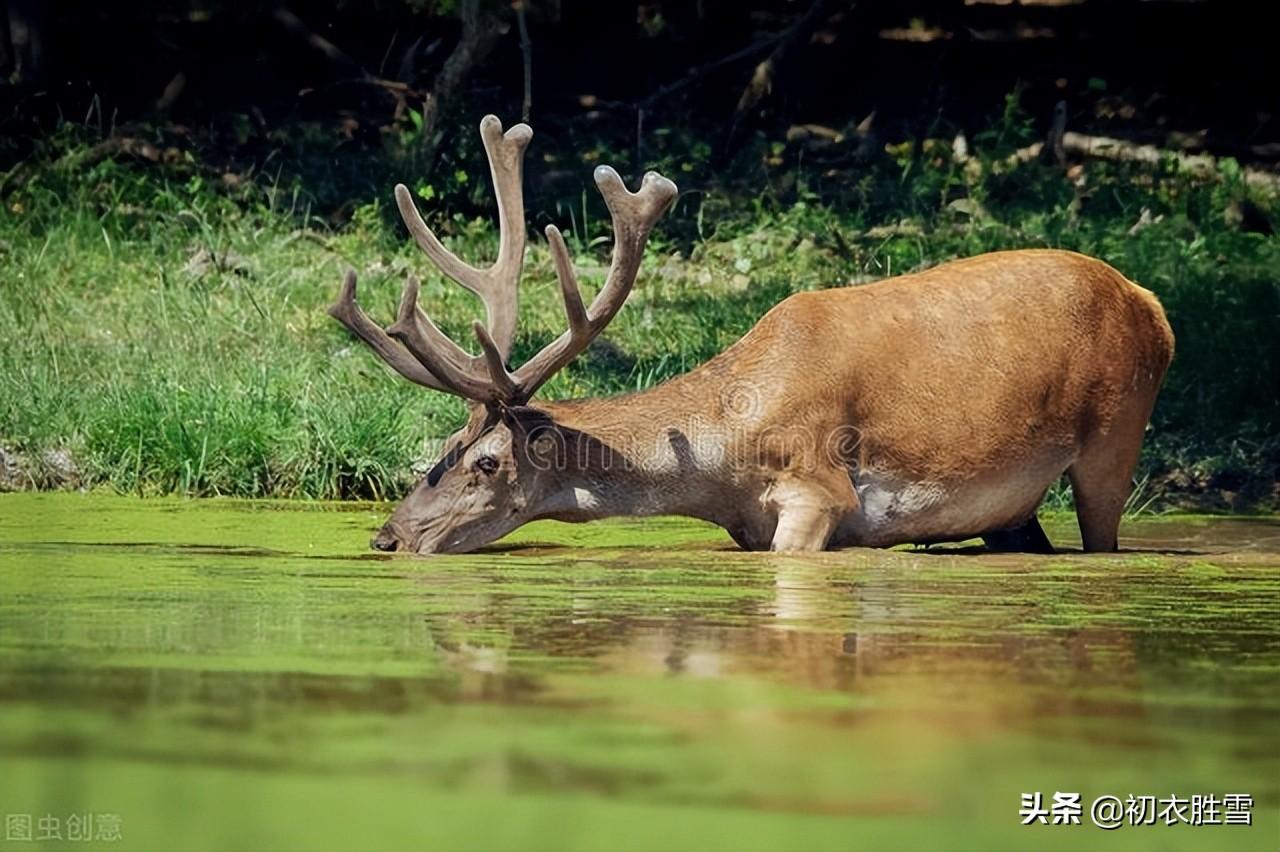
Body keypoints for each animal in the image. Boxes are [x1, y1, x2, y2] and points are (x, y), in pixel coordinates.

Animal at [327, 117, 1172, 557]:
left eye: (488, 462)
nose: (387, 539)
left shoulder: (820, 487)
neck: (721, 457)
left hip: (1116, 436)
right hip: (1014, 506)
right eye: (440, 447)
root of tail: (1152, 302)